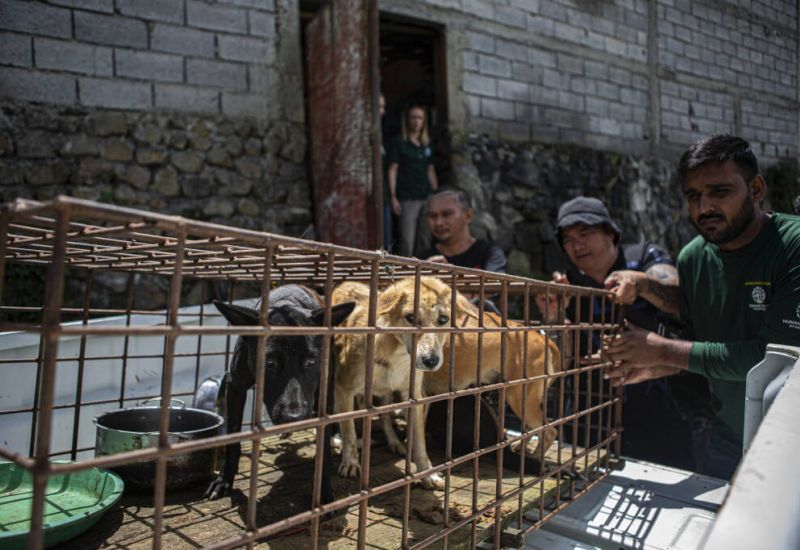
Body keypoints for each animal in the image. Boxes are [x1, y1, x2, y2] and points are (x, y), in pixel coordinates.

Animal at [205, 284, 355, 501]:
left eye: (311, 362)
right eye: (269, 363)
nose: (294, 418)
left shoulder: (324, 390)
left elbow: (323, 448)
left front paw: (323, 493)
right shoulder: (235, 386)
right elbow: (233, 440)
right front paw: (224, 480)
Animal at [331, 276, 464, 490]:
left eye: (443, 319)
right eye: (410, 318)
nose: (431, 361)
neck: (395, 355)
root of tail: (346, 282)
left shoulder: (414, 397)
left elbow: (419, 443)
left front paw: (428, 474)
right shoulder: (343, 388)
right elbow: (348, 431)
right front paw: (350, 462)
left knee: (384, 416)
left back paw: (394, 442)